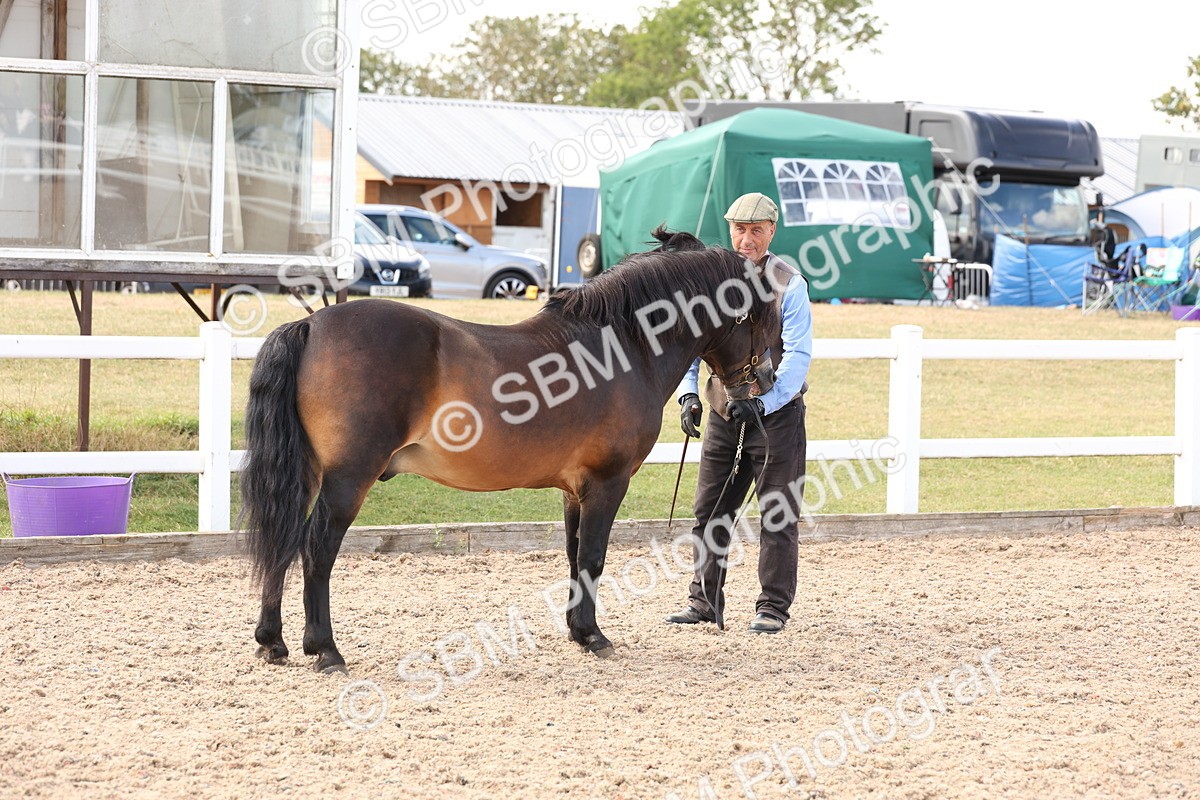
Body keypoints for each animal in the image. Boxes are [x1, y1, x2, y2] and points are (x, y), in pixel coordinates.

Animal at [241, 229, 779, 673]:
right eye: (762, 315)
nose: (767, 381)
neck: (624, 347)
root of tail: (312, 326)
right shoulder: (608, 482)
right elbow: (594, 557)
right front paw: (594, 636)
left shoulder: (574, 490)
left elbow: (574, 556)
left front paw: (576, 631)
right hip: (349, 478)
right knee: (315, 549)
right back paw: (325, 650)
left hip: (307, 472)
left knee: (283, 538)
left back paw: (273, 641)